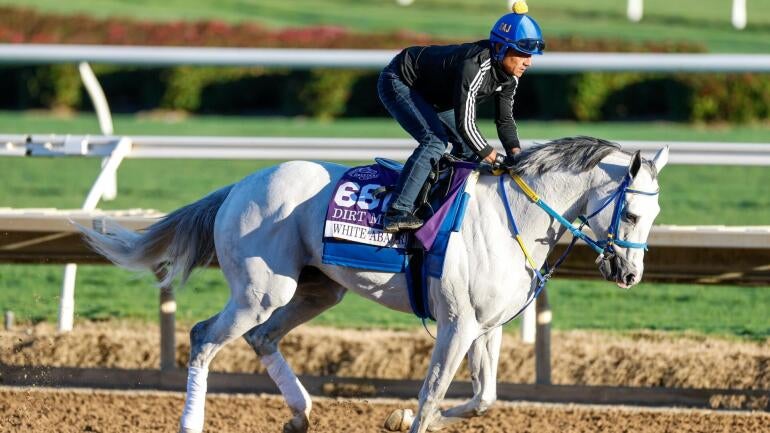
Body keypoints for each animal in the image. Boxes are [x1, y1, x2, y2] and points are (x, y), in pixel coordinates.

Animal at [78, 136, 669, 433]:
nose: (630, 274)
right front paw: (408, 414)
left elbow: (483, 399)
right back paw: (193, 423)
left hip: (315, 288)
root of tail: (240, 184)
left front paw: (397, 414)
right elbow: (432, 396)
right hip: (261, 291)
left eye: (656, 215)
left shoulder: (487, 327)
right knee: (205, 336)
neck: (514, 216)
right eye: (633, 214)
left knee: (262, 338)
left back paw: (301, 415)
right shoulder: (456, 324)